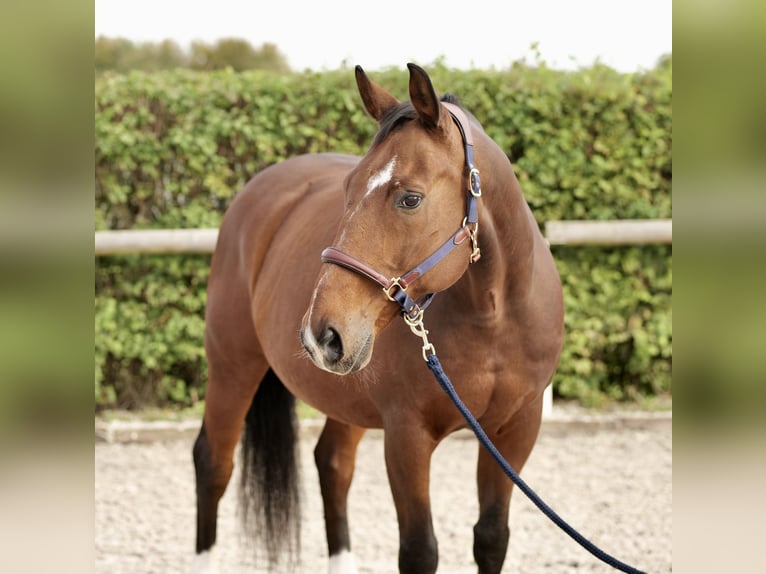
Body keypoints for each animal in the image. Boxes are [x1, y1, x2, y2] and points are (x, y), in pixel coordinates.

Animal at [192, 64, 564, 574]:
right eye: (348, 189)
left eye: (410, 198)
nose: (321, 334)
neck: (494, 316)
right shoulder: (407, 436)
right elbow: (419, 550)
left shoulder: (515, 431)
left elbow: (491, 538)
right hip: (233, 367)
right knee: (214, 463)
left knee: (332, 466)